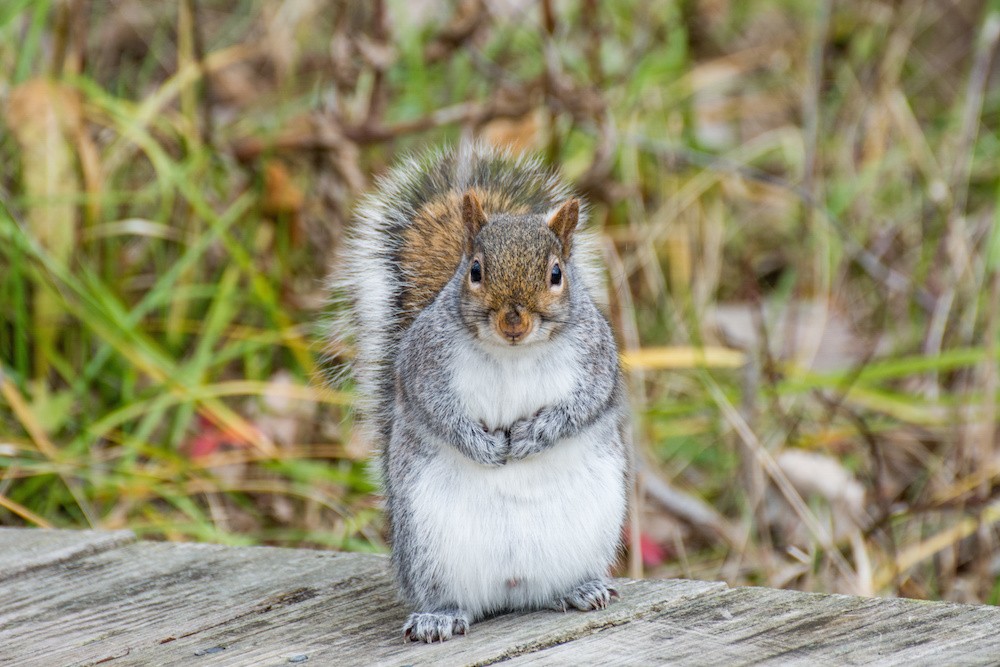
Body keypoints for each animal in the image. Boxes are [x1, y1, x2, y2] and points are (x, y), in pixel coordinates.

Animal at [332, 141, 628, 640]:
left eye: (556, 274)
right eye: (475, 270)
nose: (514, 322)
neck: (513, 354)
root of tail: (511, 589)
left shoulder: (596, 362)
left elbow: (581, 406)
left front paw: (533, 436)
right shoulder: (424, 367)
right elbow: (437, 412)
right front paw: (483, 446)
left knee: (555, 587)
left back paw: (582, 589)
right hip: (429, 546)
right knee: (450, 596)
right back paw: (439, 617)